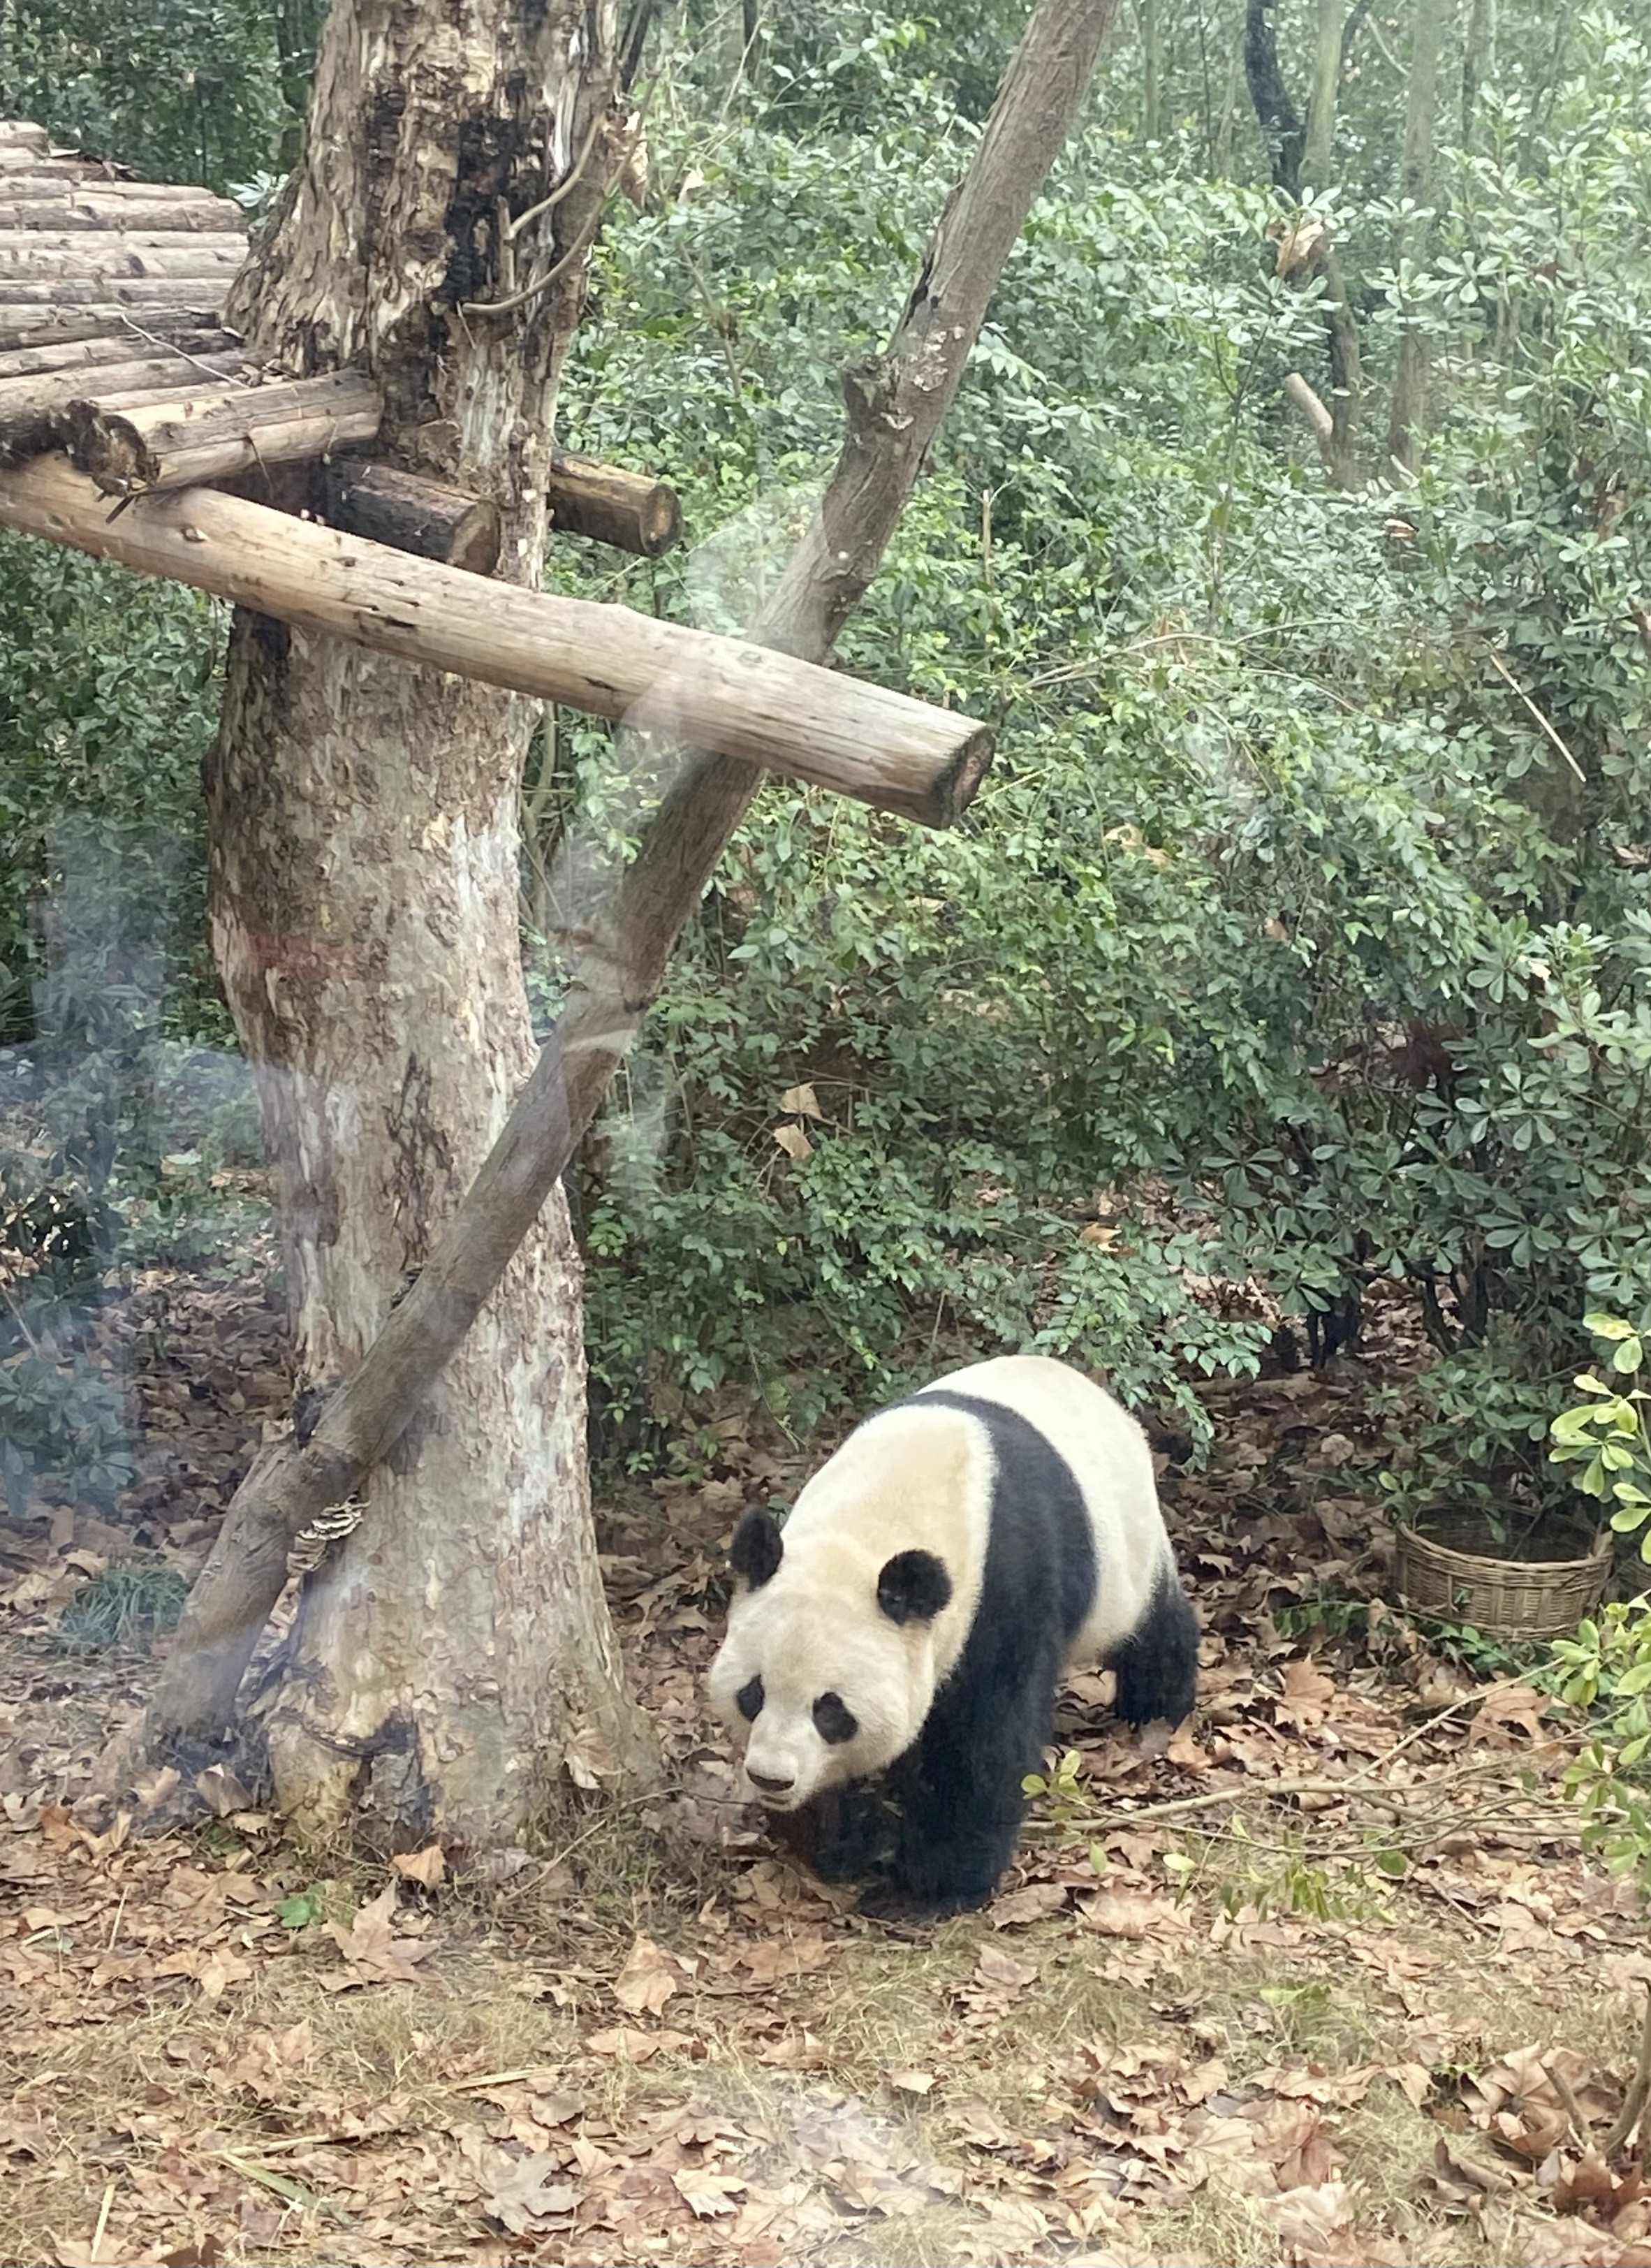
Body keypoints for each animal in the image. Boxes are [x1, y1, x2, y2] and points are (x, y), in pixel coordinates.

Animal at [706, 1353, 1199, 1920]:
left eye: (830, 1710)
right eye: (753, 1693)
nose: (772, 1778)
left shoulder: (1001, 1588)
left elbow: (981, 1741)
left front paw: (920, 1890)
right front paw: (840, 1840)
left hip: (1122, 1544)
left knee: (1149, 1626)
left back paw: (1156, 1706)